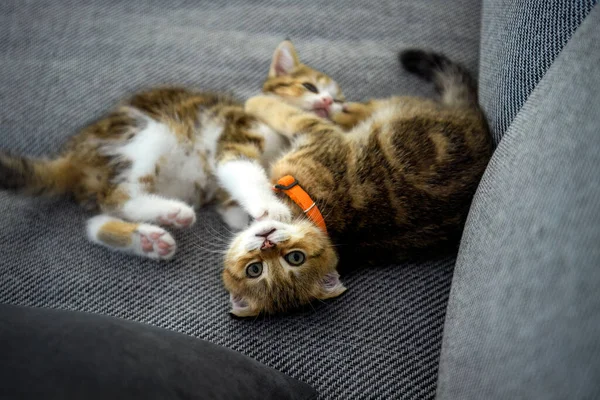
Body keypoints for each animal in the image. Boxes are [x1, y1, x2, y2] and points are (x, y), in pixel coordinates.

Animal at [0, 39, 344, 260]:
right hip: (151, 131)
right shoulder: (236, 132)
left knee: (96, 217)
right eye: (309, 87)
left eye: (341, 103)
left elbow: (230, 203)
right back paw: (168, 214)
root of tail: (74, 154)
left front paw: (245, 217)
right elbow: (241, 168)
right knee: (118, 197)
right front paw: (269, 206)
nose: (328, 102)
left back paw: (146, 239)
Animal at [223, 50, 494, 318]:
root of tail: (474, 115)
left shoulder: (319, 135)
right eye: (254, 269)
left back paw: (342, 109)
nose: (266, 242)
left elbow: (286, 114)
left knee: (368, 107)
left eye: (295, 258)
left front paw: (257, 101)